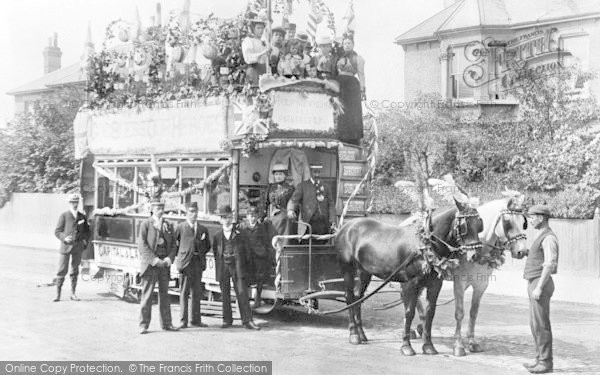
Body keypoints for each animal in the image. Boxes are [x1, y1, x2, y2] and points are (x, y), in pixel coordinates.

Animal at [336, 198, 486, 356]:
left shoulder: (435, 284)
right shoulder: (410, 284)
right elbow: (409, 313)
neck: (424, 245)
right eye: (464, 225)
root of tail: (347, 226)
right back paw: (353, 334)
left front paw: (428, 345)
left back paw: (361, 333)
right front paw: (406, 345)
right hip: (347, 270)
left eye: (479, 224)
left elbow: (430, 313)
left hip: (364, 272)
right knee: (349, 297)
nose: (476, 255)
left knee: (358, 297)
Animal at [448, 195, 528, 356]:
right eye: (507, 222)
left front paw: (472, 342)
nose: (522, 251)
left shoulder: (481, 285)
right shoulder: (459, 283)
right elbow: (460, 313)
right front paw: (458, 345)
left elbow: (473, 312)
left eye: (523, 223)